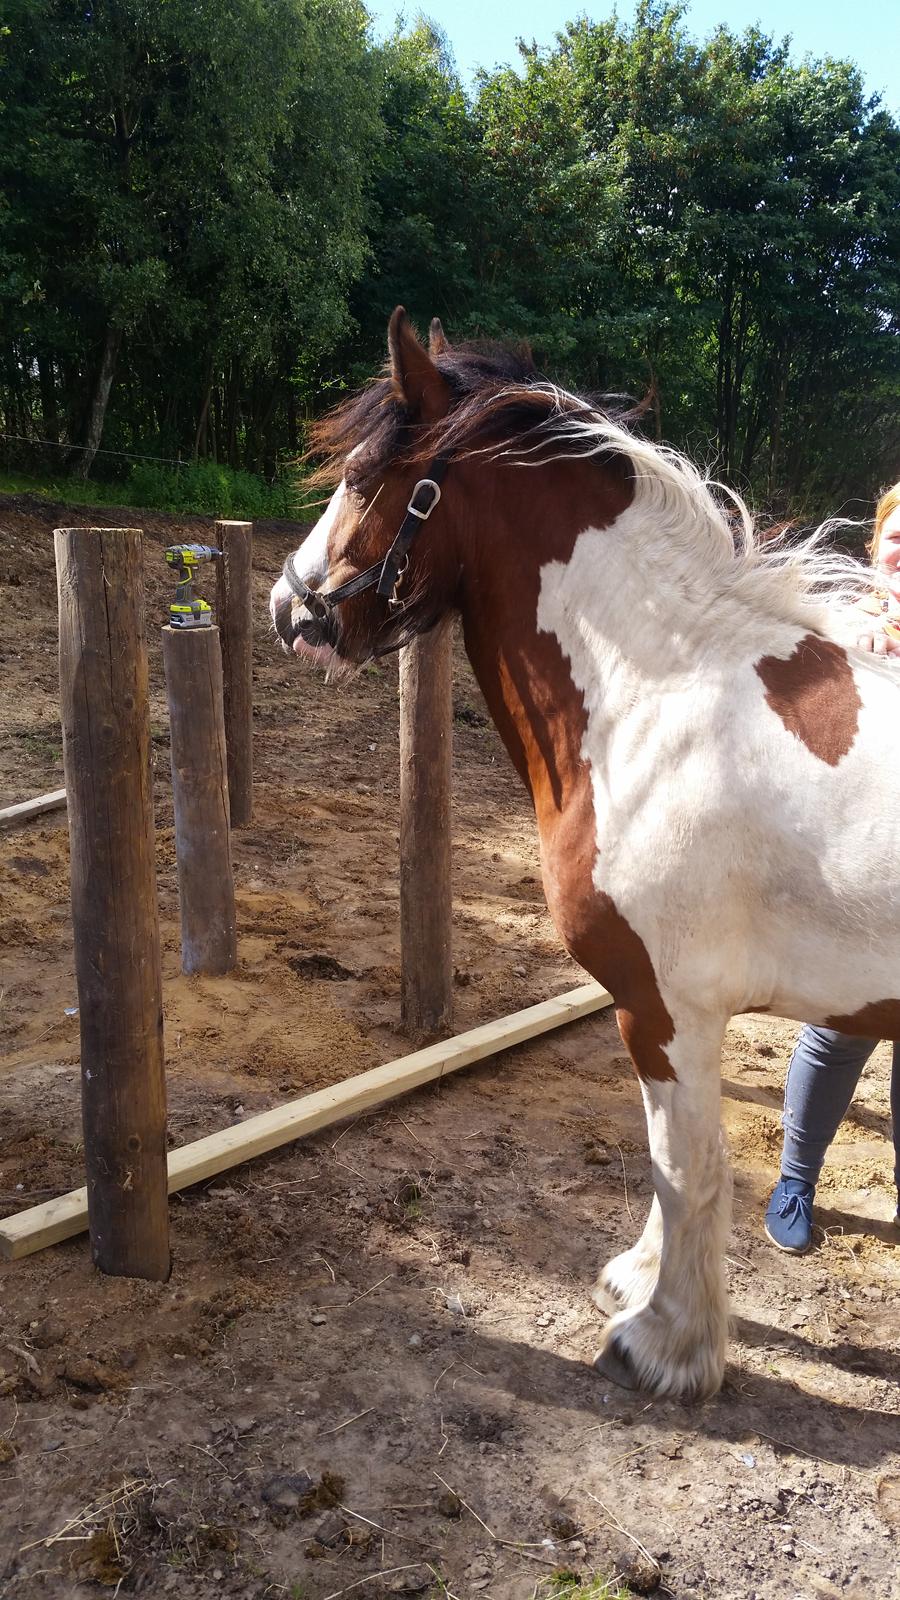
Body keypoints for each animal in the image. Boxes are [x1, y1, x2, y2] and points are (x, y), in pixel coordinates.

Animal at [267, 308, 896, 1401]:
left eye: (358, 475)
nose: (285, 606)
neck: (663, 695)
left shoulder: (666, 1004)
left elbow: (688, 1168)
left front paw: (669, 1345)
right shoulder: (660, 1013)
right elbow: (665, 1158)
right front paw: (640, 1280)